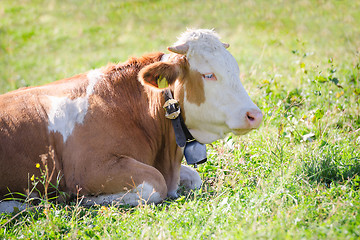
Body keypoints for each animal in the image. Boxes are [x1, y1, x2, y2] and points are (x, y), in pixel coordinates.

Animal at [0, 29, 262, 211]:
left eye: (235, 70)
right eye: (208, 75)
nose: (255, 115)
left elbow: (193, 177)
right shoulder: (90, 168)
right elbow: (156, 184)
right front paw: (86, 199)